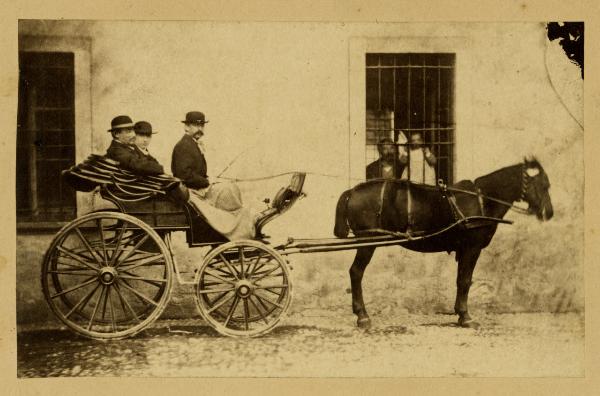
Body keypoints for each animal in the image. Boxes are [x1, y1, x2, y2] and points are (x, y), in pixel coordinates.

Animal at [332, 157, 552, 328]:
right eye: (544, 185)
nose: (549, 213)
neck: (482, 200)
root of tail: (353, 191)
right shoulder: (472, 248)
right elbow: (465, 281)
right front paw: (466, 317)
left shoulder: (464, 250)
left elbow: (461, 280)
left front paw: (460, 314)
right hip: (368, 242)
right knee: (356, 272)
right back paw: (362, 316)